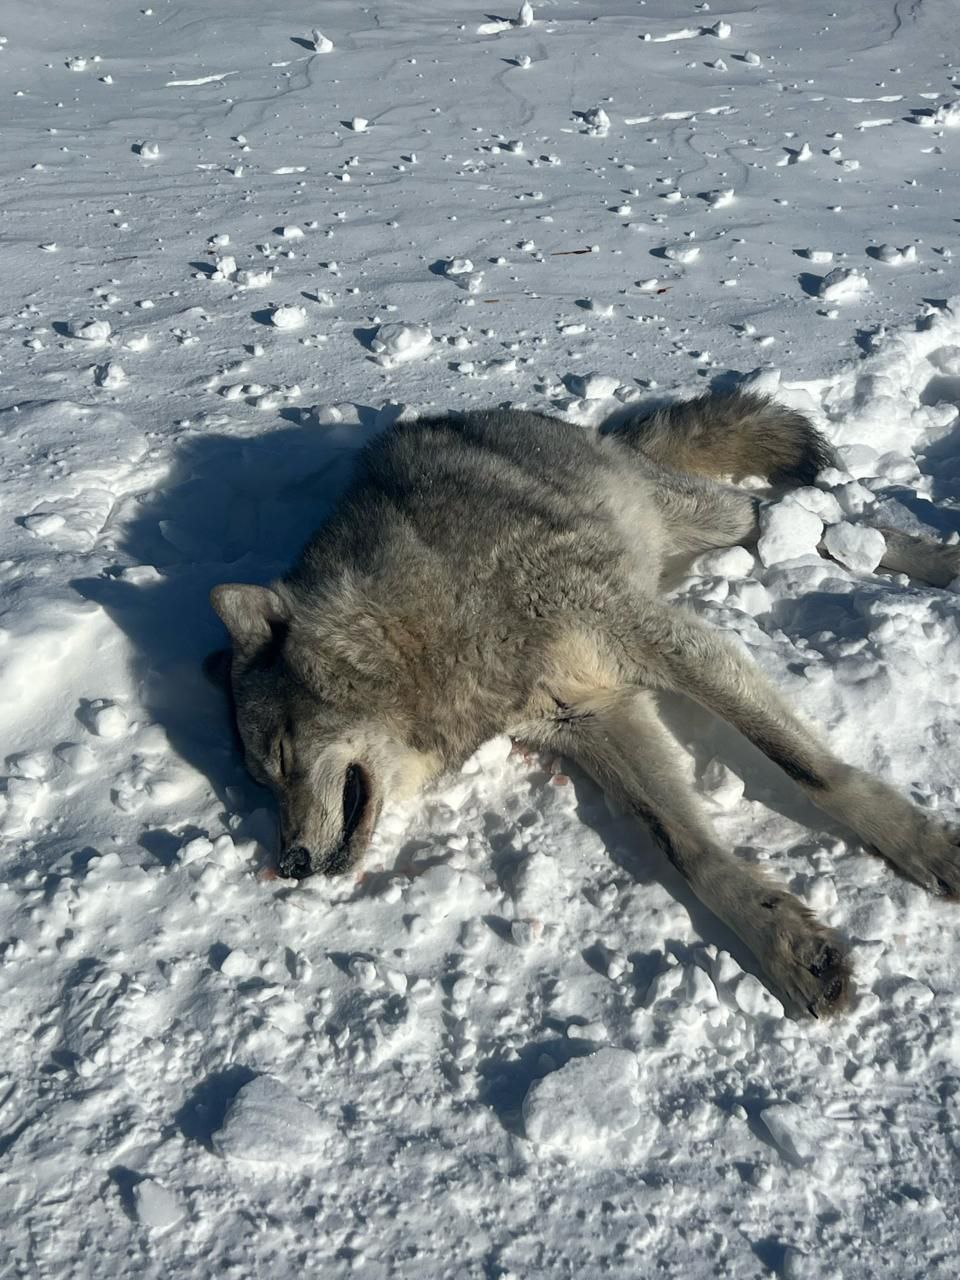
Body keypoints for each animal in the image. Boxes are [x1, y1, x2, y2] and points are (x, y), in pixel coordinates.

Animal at [209, 391, 960, 1018]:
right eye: (262, 782)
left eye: (282, 758)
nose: (291, 864)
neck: (438, 624)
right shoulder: (592, 718)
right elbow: (688, 849)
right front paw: (783, 943)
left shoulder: (655, 637)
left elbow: (812, 772)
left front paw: (922, 845)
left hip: (714, 521)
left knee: (833, 528)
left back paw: (938, 565)